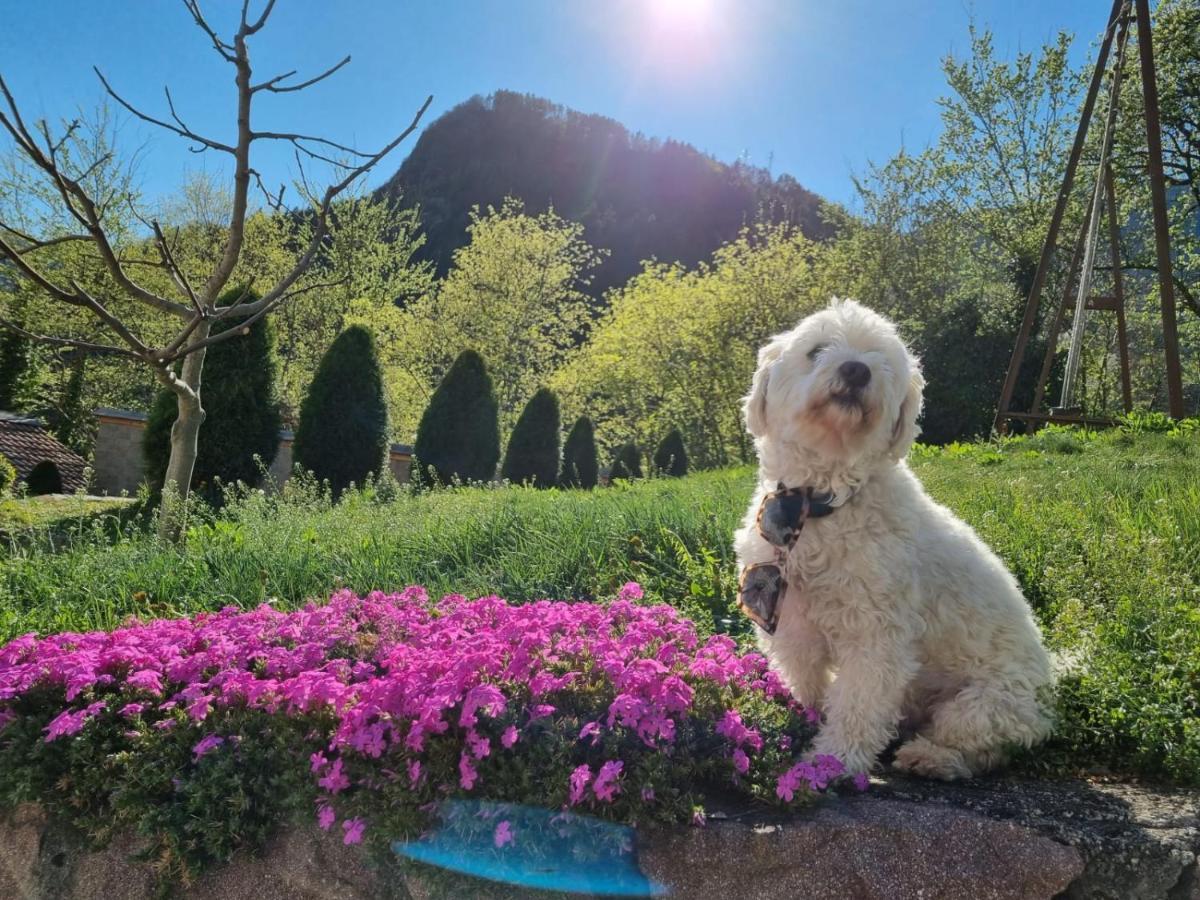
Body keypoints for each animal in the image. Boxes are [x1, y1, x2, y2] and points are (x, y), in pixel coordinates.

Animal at [729, 300, 1051, 777]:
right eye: (816, 349)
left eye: (880, 359)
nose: (857, 369)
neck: (819, 504)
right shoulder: (792, 621)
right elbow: (807, 680)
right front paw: (807, 720)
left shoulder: (877, 633)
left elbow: (859, 701)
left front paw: (833, 759)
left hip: (984, 704)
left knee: (982, 746)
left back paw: (930, 756)